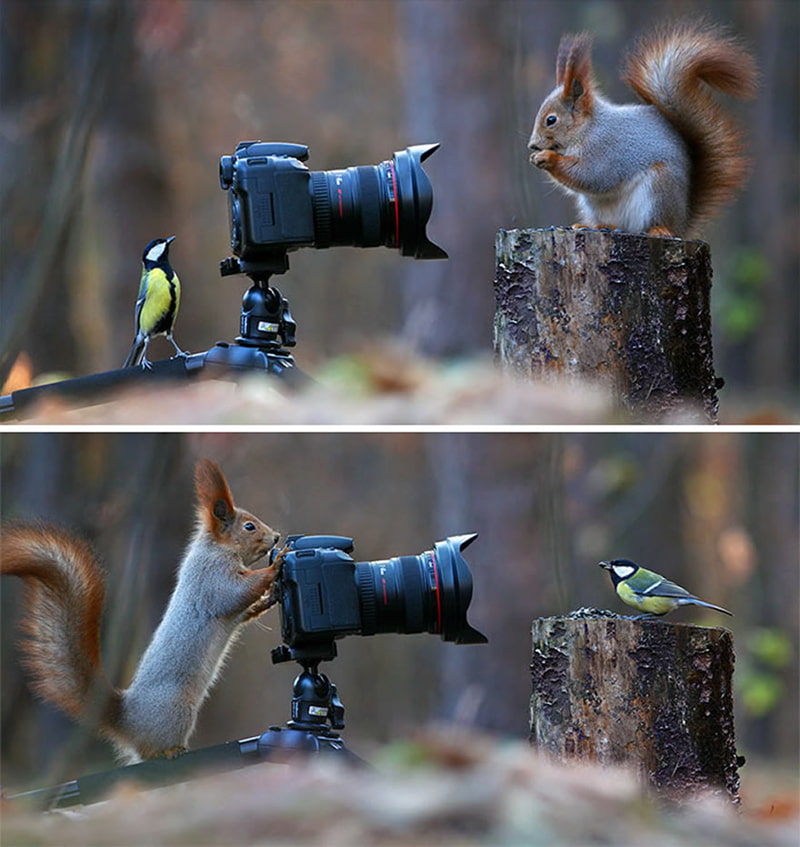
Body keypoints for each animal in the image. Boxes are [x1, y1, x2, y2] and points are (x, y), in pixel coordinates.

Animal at [1, 458, 285, 764]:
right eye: (249, 527)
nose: (277, 536)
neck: (216, 548)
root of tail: (128, 721)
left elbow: (243, 611)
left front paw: (269, 598)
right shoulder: (210, 578)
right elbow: (234, 593)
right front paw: (276, 565)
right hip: (178, 709)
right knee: (151, 751)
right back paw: (171, 750)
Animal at [528, 21, 757, 237]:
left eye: (551, 120)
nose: (532, 146)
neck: (587, 129)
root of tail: (682, 223)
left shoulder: (606, 149)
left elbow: (592, 175)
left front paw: (547, 158)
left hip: (659, 189)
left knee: (651, 224)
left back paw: (658, 230)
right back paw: (595, 226)